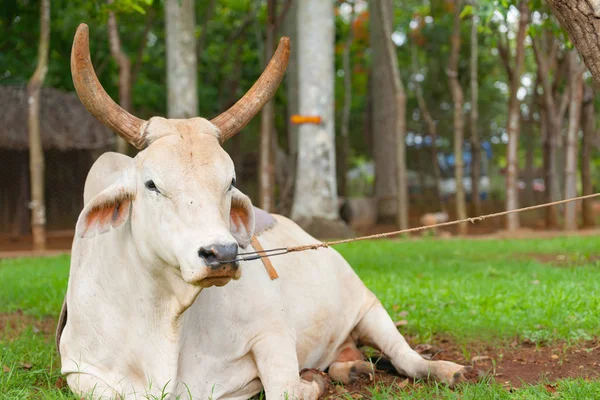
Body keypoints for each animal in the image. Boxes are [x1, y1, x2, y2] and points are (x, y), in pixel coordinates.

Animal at [57, 25, 468, 400]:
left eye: (230, 181)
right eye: (151, 184)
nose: (221, 254)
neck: (166, 317)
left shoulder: (273, 332)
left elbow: (286, 389)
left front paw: (311, 381)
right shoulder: (78, 369)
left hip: (368, 306)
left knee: (405, 357)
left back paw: (445, 370)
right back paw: (350, 367)